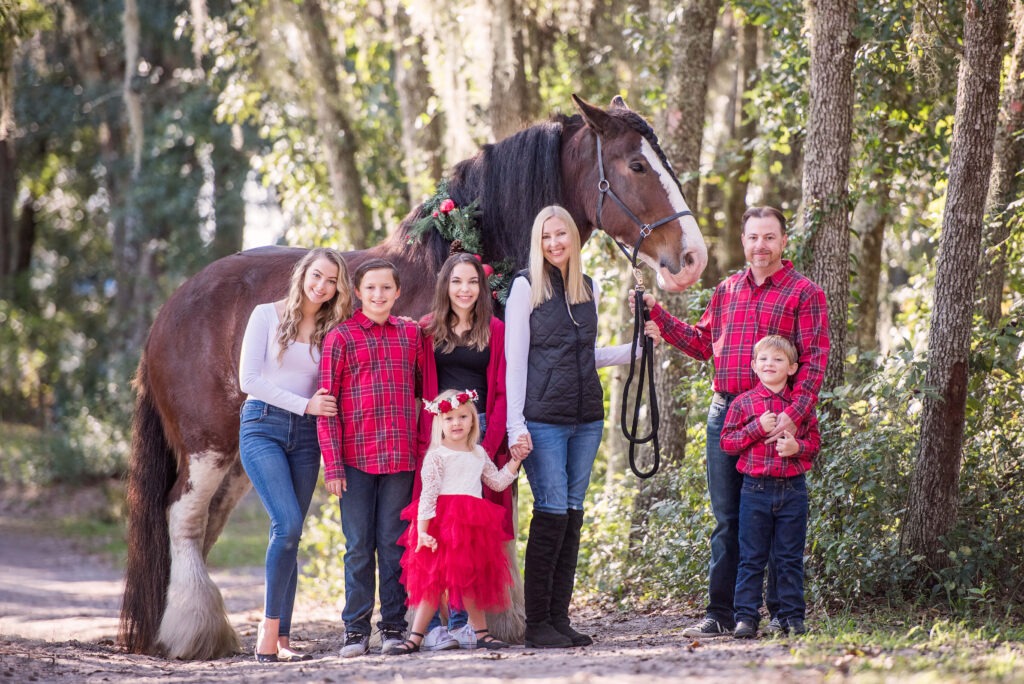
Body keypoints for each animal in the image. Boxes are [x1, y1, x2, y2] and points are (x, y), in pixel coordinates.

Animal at [119, 94, 708, 655]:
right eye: (636, 164)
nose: (692, 258)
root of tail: (169, 313)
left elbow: (496, 513)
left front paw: (497, 615)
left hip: (240, 457)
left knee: (205, 527)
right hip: (207, 446)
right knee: (182, 518)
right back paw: (193, 634)